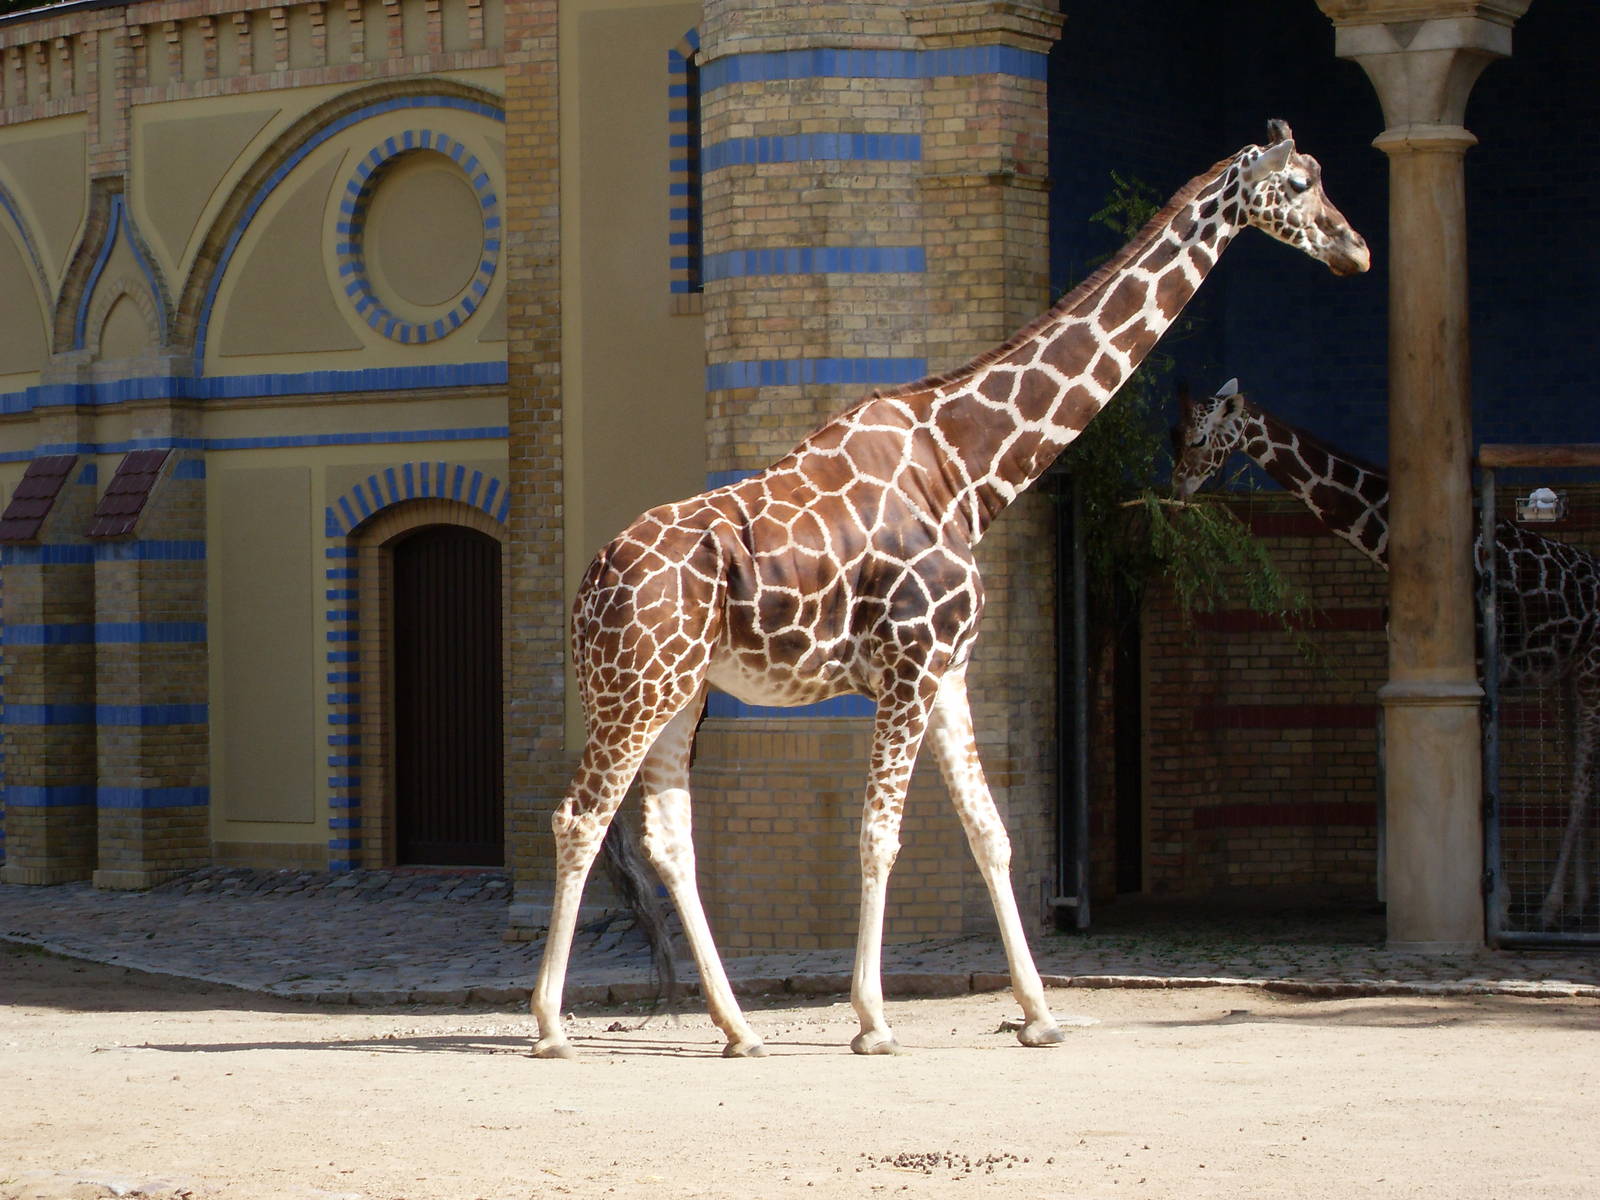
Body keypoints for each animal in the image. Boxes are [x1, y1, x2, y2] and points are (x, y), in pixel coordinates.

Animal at [531, 121, 1369, 1060]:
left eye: (1321, 177)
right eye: (1298, 185)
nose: (1357, 250)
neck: (964, 466)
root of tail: (586, 590)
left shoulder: (949, 671)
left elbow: (990, 832)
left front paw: (1038, 1014)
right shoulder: (908, 665)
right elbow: (879, 834)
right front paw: (872, 1020)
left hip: (681, 691)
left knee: (669, 838)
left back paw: (739, 1028)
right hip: (634, 689)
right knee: (578, 818)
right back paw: (551, 1026)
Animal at [1172, 379, 1600, 930]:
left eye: (1200, 438)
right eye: (1177, 434)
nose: (1177, 489)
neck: (1387, 550)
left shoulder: (1477, 668)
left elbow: (1484, 775)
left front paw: (1498, 900)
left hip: (1592, 665)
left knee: (1585, 771)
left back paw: (1549, 906)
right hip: (1569, 673)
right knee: (1580, 768)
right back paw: (1576, 901)